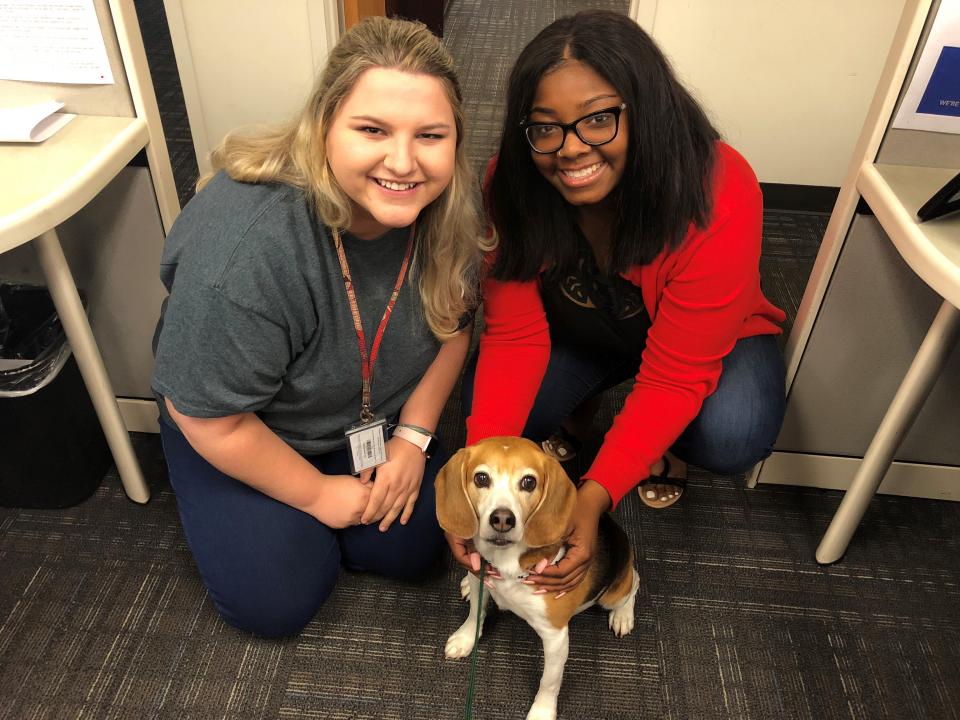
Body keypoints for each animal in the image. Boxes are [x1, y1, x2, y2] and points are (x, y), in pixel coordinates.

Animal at [436, 436, 636, 716]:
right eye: (481, 478)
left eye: (528, 482)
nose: (502, 519)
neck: (506, 564)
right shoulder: (479, 576)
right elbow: (475, 613)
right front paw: (465, 638)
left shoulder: (556, 637)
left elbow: (549, 682)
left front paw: (542, 711)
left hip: (613, 593)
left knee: (634, 583)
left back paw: (623, 615)